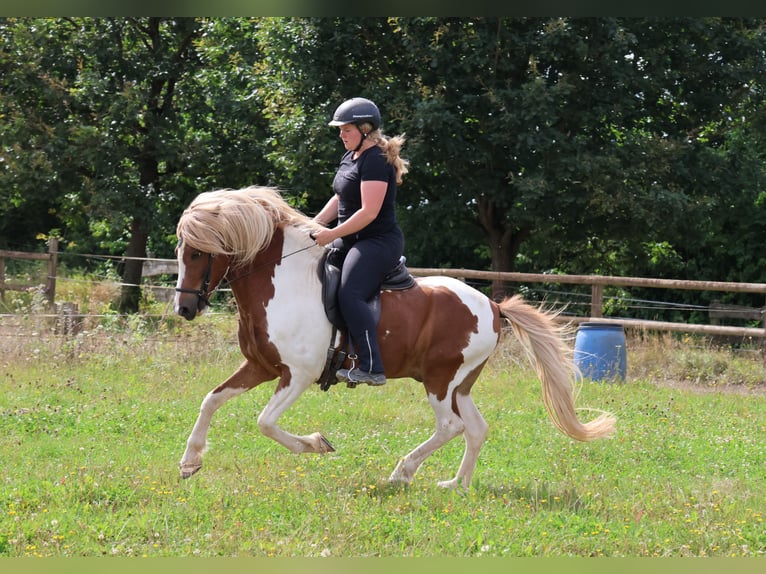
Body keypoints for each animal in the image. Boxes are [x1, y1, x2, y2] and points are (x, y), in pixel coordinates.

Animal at [174, 186, 616, 490]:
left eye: (196, 253)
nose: (184, 309)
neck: (283, 282)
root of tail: (493, 306)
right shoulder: (261, 366)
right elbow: (211, 400)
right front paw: (190, 462)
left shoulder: (297, 374)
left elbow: (265, 422)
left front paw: (317, 444)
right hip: (460, 385)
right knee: (475, 428)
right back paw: (456, 485)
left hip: (440, 380)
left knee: (450, 427)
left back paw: (402, 472)